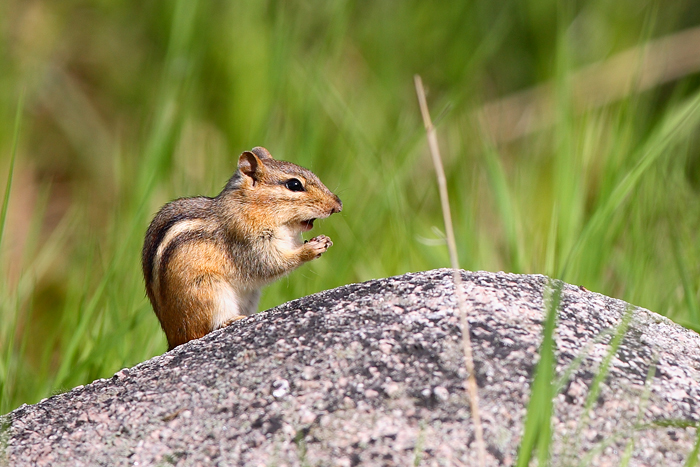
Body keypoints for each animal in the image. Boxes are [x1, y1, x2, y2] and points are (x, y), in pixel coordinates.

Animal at [142, 147, 342, 350]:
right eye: (294, 184)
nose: (338, 205)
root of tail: (173, 338)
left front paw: (323, 239)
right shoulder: (248, 242)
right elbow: (271, 264)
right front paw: (311, 249)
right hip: (207, 290)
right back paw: (230, 321)